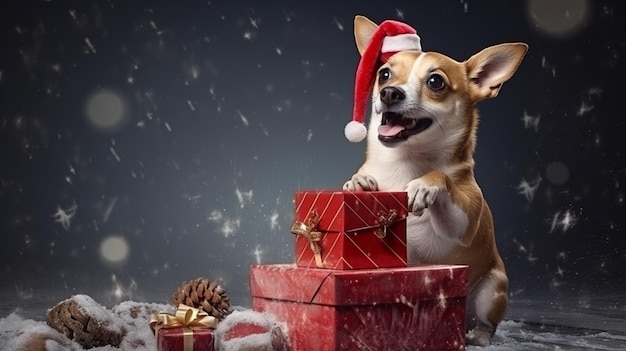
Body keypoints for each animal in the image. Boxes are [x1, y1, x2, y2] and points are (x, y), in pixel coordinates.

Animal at [342, 15, 528, 346]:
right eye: (384, 74)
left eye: (435, 82)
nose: (390, 92)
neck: (403, 164)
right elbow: (359, 181)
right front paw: (358, 182)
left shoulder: (461, 227)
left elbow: (441, 178)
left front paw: (424, 186)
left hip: (491, 290)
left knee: (487, 322)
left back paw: (478, 335)